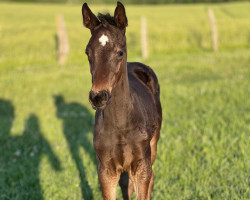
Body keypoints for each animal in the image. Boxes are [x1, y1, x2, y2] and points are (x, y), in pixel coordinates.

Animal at [82, 1, 162, 200]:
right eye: (87, 52)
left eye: (119, 52)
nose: (98, 96)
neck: (121, 124)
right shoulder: (106, 171)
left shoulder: (141, 167)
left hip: (154, 145)